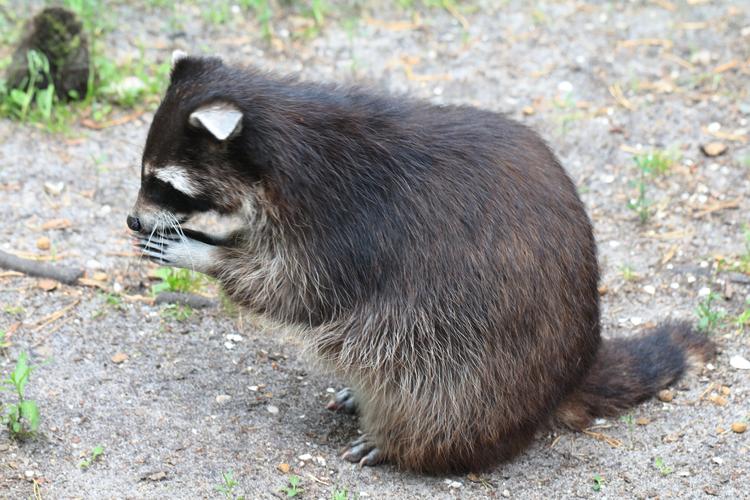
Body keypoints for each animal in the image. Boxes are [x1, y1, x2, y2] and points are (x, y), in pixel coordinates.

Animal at [128, 52, 716, 474]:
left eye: (164, 184)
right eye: (145, 174)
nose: (133, 221)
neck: (288, 140)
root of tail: (571, 370)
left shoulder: (346, 226)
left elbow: (297, 292)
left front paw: (204, 252)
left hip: (478, 362)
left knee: (426, 379)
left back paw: (402, 441)